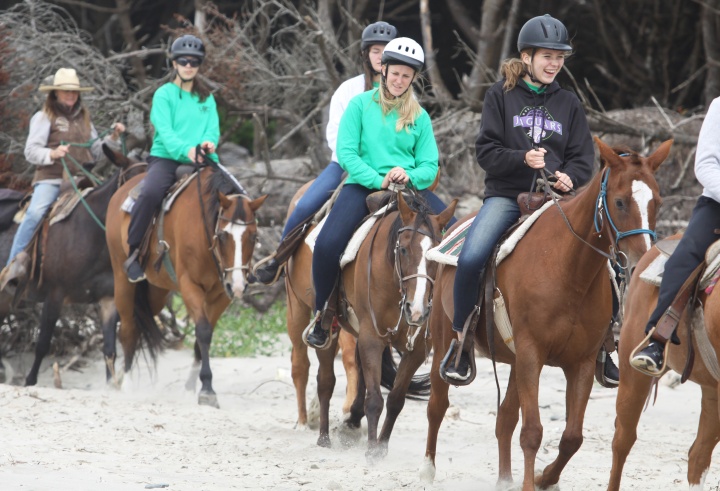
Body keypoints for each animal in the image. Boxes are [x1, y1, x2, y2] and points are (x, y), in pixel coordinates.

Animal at [105, 167, 266, 410]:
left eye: (253, 236)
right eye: (222, 235)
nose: (238, 285)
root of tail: (120, 191)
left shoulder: (221, 294)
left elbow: (203, 338)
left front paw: (192, 387)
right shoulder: (191, 286)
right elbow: (203, 331)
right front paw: (207, 388)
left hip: (156, 292)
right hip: (122, 277)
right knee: (128, 328)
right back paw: (127, 383)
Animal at [334, 190, 458, 460]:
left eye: (436, 253)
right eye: (402, 249)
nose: (417, 309)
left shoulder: (417, 349)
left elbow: (396, 399)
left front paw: (381, 446)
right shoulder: (372, 338)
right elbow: (375, 399)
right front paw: (372, 449)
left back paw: (353, 420)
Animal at [422, 136, 668, 490]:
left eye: (657, 202)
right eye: (620, 202)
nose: (640, 263)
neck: (568, 270)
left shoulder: (580, 363)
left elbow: (571, 437)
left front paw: (544, 478)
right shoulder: (531, 354)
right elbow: (532, 432)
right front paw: (533, 481)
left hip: (514, 362)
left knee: (505, 418)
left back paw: (505, 479)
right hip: (446, 339)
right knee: (437, 405)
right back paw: (427, 469)